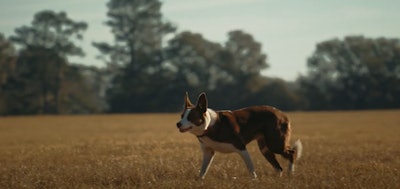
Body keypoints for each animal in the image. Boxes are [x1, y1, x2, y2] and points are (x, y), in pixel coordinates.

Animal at [176, 92, 304, 179]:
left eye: (191, 117)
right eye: (182, 116)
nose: (178, 124)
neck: (209, 127)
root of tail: (282, 113)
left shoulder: (241, 147)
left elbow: (251, 168)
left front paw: (254, 181)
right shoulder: (208, 152)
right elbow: (203, 170)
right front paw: (199, 181)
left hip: (275, 144)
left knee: (292, 152)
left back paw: (290, 172)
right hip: (265, 148)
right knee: (278, 167)